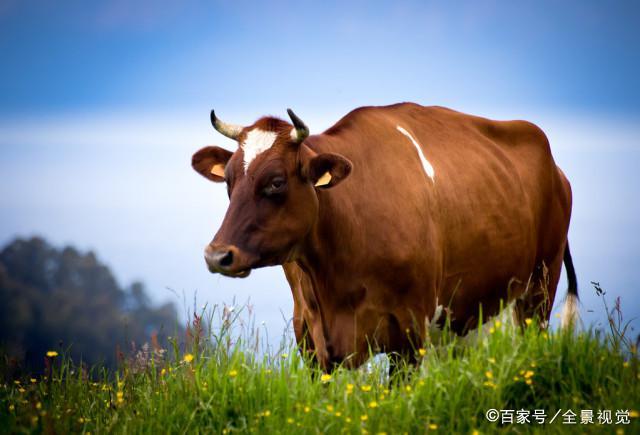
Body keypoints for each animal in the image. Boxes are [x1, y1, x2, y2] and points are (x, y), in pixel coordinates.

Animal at [192, 103, 576, 372]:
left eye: (276, 182)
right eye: (228, 180)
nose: (216, 255)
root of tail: (556, 168)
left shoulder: (410, 330)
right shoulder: (310, 336)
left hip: (539, 289)